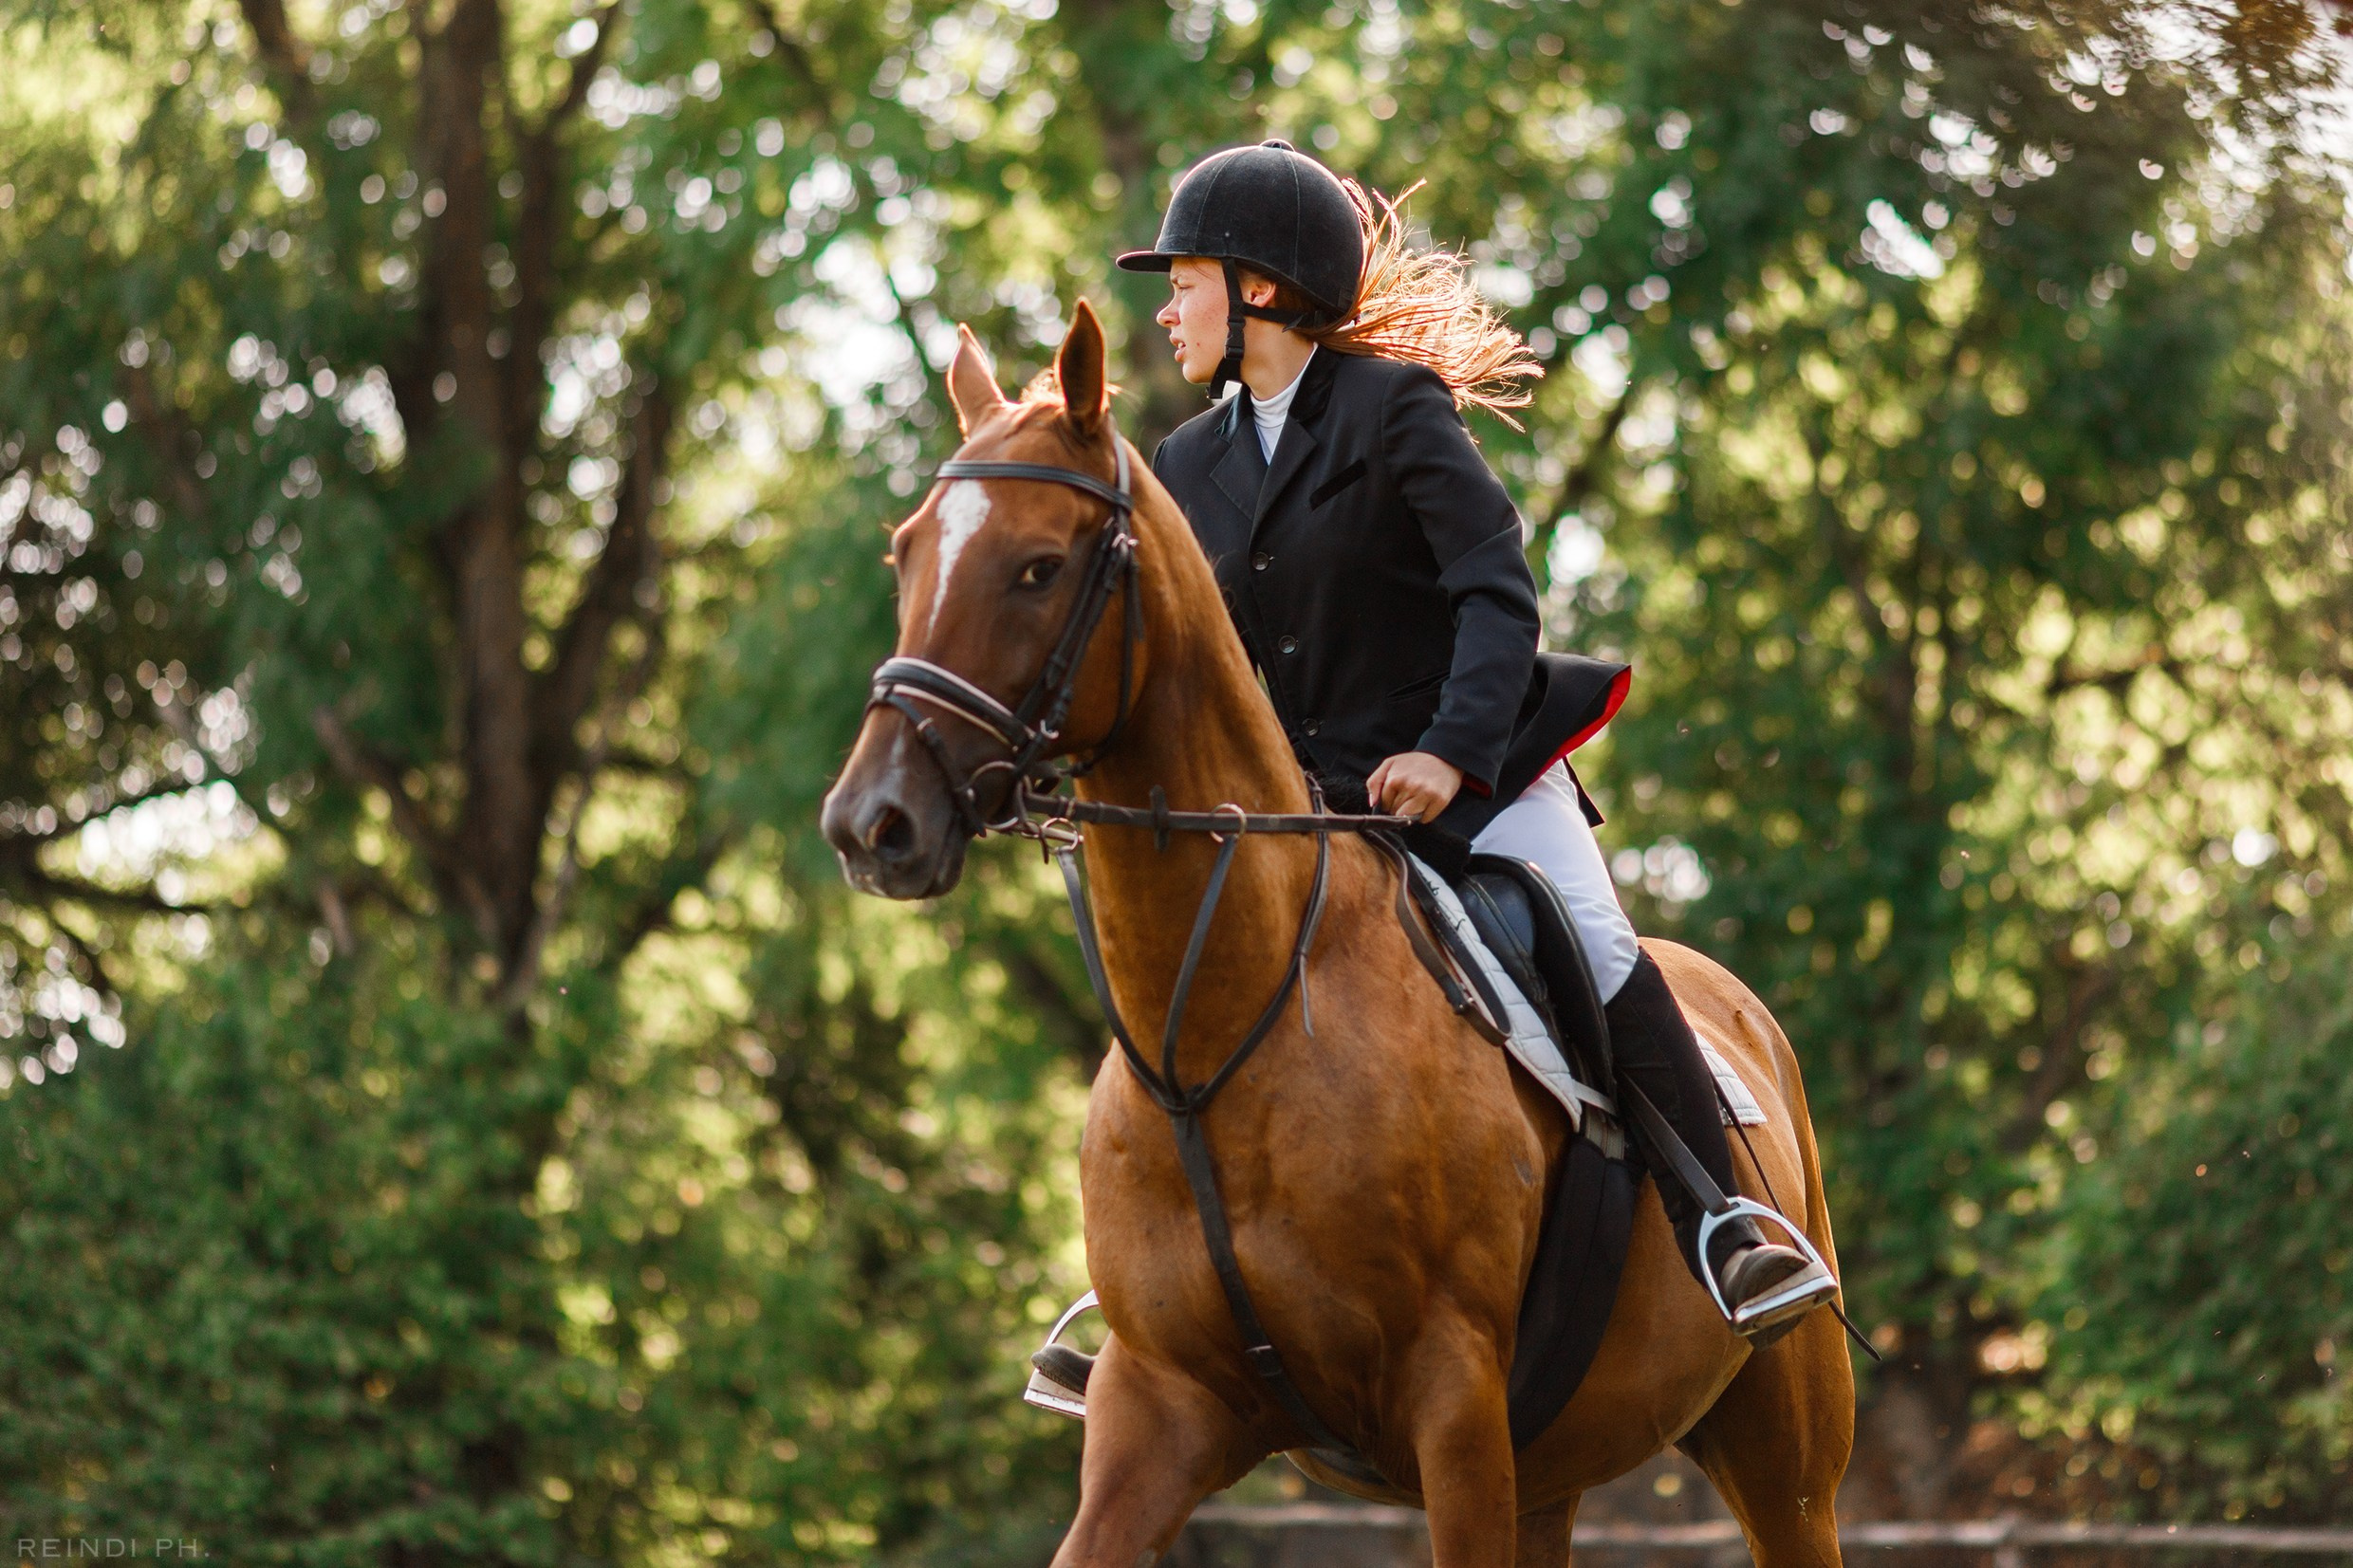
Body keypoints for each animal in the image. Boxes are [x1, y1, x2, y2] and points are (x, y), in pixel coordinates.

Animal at [820, 300, 1854, 1568]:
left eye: (1037, 567)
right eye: (907, 552)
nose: (872, 824)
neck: (1217, 1035)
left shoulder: (1453, 1409)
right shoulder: (1157, 1408)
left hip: (1783, 1464)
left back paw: (1754, 1261)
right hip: (1555, 1469)